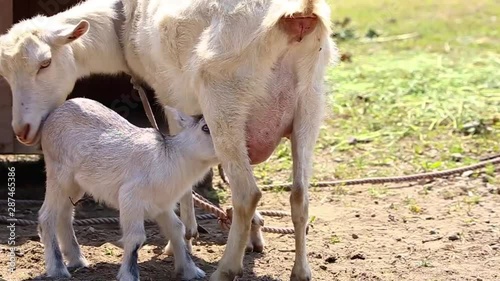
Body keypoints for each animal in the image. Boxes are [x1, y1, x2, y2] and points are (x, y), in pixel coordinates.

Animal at [38, 95, 218, 278]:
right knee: (47, 216)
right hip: (58, 174)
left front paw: (191, 271)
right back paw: (58, 269)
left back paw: (76, 260)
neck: (171, 157)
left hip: (75, 185)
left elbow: (176, 229)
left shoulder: (162, 205)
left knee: (64, 214)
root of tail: (53, 115)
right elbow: (135, 238)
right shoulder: (130, 198)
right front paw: (129, 275)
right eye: (205, 127)